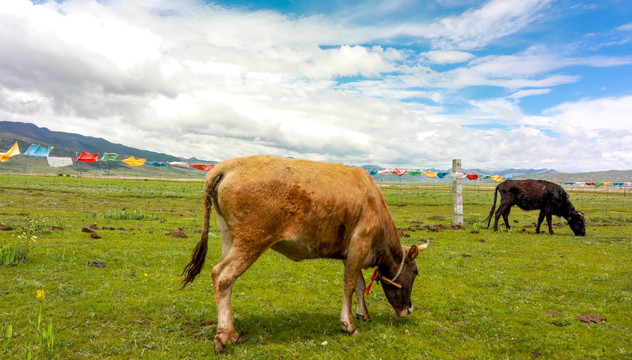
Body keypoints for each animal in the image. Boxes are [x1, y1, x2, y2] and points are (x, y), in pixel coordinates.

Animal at [183, 155, 430, 354]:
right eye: (416, 273)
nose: (409, 309)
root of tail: (226, 166)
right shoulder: (359, 244)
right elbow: (350, 285)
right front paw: (348, 325)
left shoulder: (351, 254)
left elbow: (359, 285)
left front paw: (363, 314)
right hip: (251, 241)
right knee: (222, 276)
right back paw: (223, 335)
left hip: (229, 238)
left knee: (224, 277)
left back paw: (232, 332)